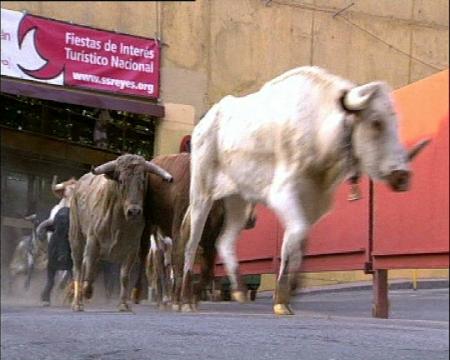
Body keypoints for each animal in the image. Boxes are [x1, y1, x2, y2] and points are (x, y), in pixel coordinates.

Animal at [181, 67, 430, 316]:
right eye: (376, 122)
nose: (402, 176)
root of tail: (204, 123)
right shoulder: (282, 193)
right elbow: (296, 234)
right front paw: (282, 296)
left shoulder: (314, 203)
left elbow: (297, 242)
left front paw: (288, 291)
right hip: (202, 192)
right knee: (192, 242)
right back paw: (185, 298)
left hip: (238, 201)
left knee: (225, 241)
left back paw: (239, 290)